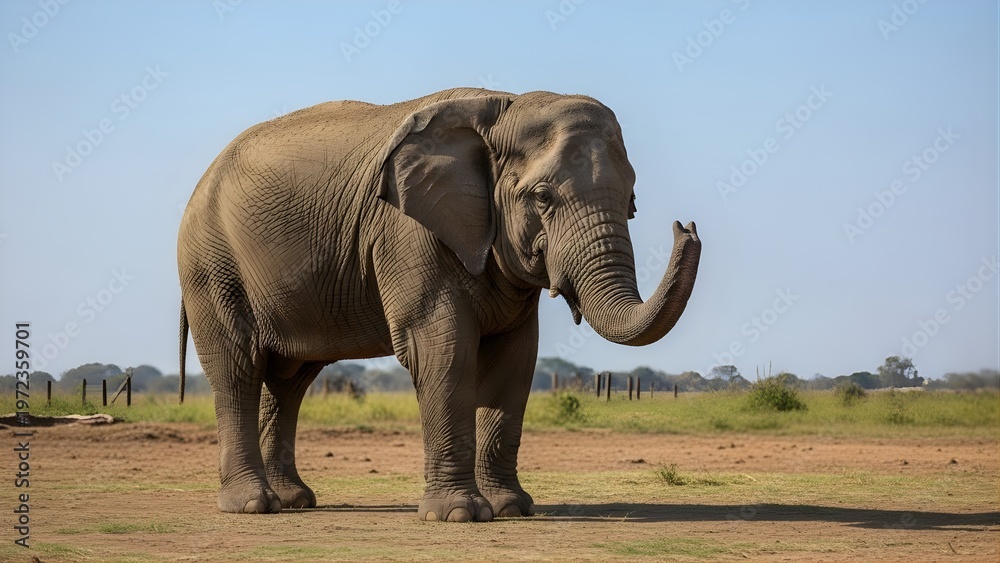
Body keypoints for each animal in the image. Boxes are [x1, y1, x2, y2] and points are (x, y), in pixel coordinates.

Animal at [177, 87, 701, 521]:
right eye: (543, 197)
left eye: (632, 201)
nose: (687, 227)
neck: (503, 107)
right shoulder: (409, 234)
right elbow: (442, 351)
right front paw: (459, 515)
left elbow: (515, 361)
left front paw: (511, 509)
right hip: (211, 264)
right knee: (239, 367)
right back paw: (252, 506)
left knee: (289, 380)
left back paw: (294, 501)